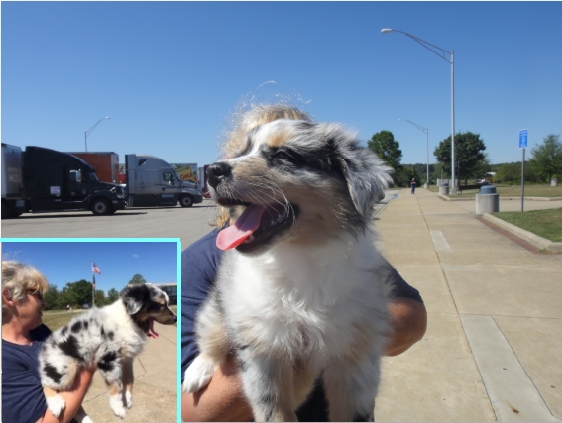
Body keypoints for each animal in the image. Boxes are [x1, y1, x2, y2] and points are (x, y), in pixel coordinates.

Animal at [40, 284, 175, 422]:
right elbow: (116, 385)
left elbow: (130, 379)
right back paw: (55, 403)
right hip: (65, 369)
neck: (128, 320)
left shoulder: (126, 359)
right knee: (45, 383)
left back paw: (86, 419)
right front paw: (118, 409)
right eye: (160, 305)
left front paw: (128, 399)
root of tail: (46, 346)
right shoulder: (108, 359)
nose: (175, 318)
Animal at [184, 120, 394, 423]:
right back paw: (197, 371)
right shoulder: (262, 347)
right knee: (210, 337)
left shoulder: (356, 353)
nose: (211, 170)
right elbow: (274, 411)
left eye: (283, 155)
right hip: (219, 308)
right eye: (242, 152)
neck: (301, 253)